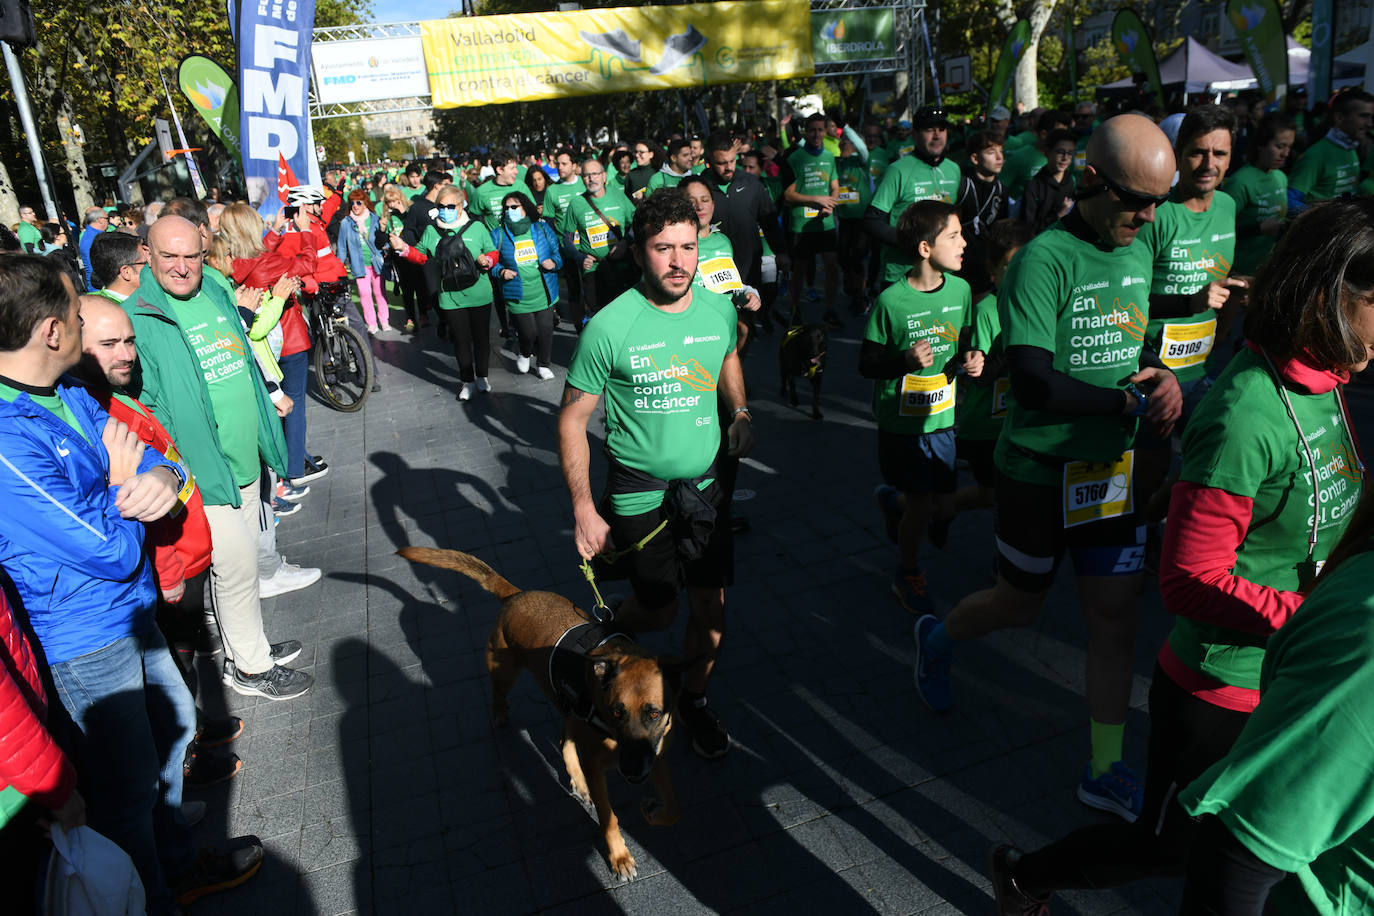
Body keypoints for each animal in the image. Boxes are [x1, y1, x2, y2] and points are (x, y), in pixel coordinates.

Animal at [395, 549, 678, 878]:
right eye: (615, 712)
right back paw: (501, 716)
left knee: (564, 740)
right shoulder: (600, 767)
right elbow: (608, 818)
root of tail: (516, 594)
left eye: (654, 714)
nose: (631, 770)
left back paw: (578, 782)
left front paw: (653, 812)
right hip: (504, 670)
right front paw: (619, 857)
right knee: (500, 696)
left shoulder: (654, 755)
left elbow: (672, 809)